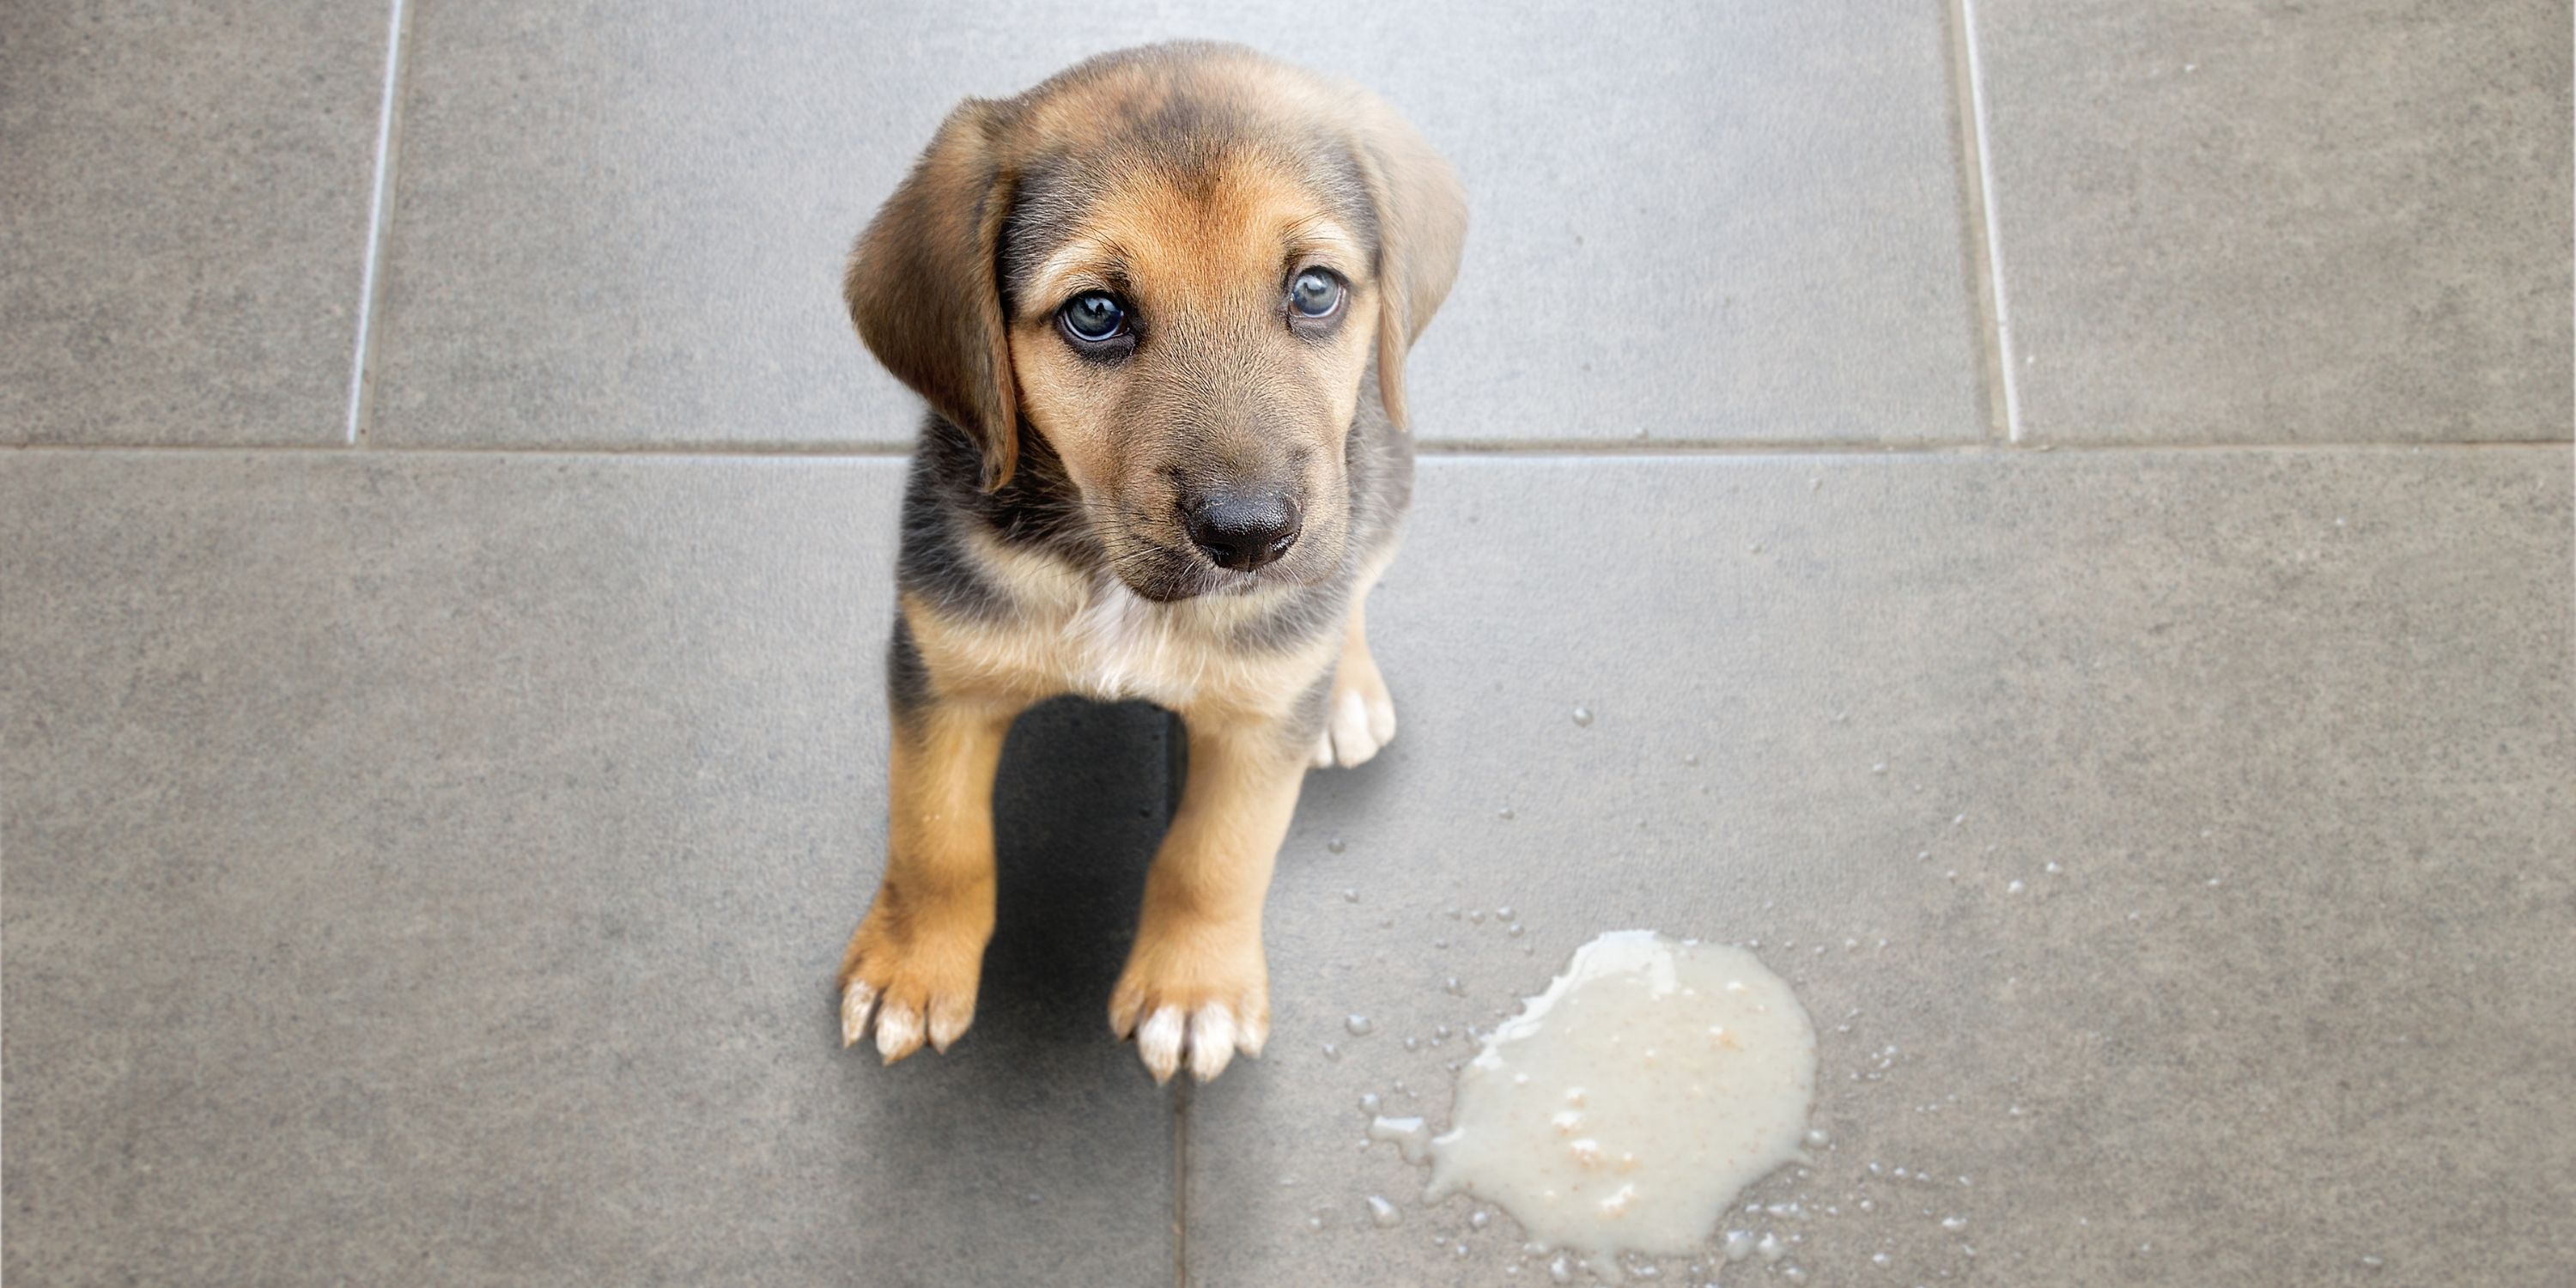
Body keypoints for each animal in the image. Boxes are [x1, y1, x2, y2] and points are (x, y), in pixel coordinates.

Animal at [835, 39, 1463, 1082]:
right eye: (1095, 312)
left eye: (1315, 290)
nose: (1251, 536)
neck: (1108, 578)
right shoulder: (940, 670)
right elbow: (936, 839)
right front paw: (911, 969)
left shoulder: (1258, 728)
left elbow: (1216, 858)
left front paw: (1193, 991)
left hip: (1381, 489)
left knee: (1353, 586)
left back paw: (1346, 690)